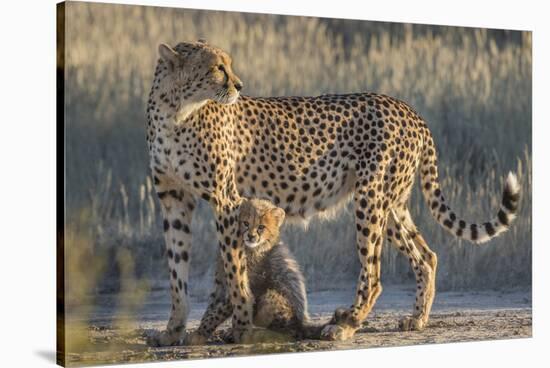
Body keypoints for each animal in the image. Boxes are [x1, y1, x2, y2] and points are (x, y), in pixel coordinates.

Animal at [146, 40, 520, 344]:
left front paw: (239, 327)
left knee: (374, 271)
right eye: (216, 67)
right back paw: (416, 319)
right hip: (392, 203)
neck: (175, 111)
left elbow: (234, 268)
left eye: (228, 64)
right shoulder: (174, 200)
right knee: (426, 255)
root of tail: (408, 108)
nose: (239, 85)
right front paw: (173, 330)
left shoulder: (226, 200)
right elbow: (177, 271)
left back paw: (347, 323)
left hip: (370, 198)